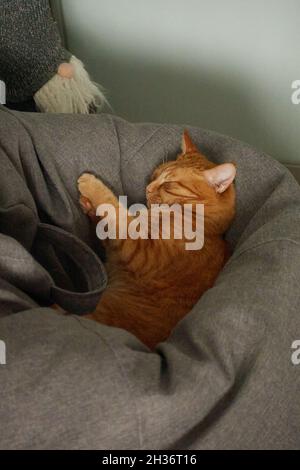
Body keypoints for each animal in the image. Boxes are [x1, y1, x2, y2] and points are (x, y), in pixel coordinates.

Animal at [78, 131, 237, 348]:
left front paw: (90, 184)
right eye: (156, 174)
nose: (148, 187)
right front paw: (89, 206)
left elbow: (116, 211)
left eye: (168, 184)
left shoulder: (141, 251)